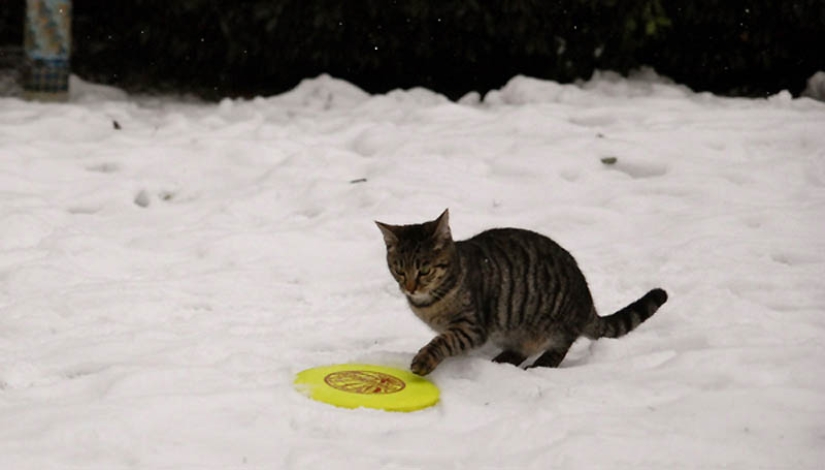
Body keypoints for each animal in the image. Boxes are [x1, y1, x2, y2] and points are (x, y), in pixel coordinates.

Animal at [376, 208, 668, 374]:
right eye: (399, 270)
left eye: (424, 270)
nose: (409, 287)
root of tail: (587, 304)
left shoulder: (471, 327)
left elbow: (443, 341)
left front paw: (425, 360)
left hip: (554, 323)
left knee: (561, 346)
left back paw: (540, 366)